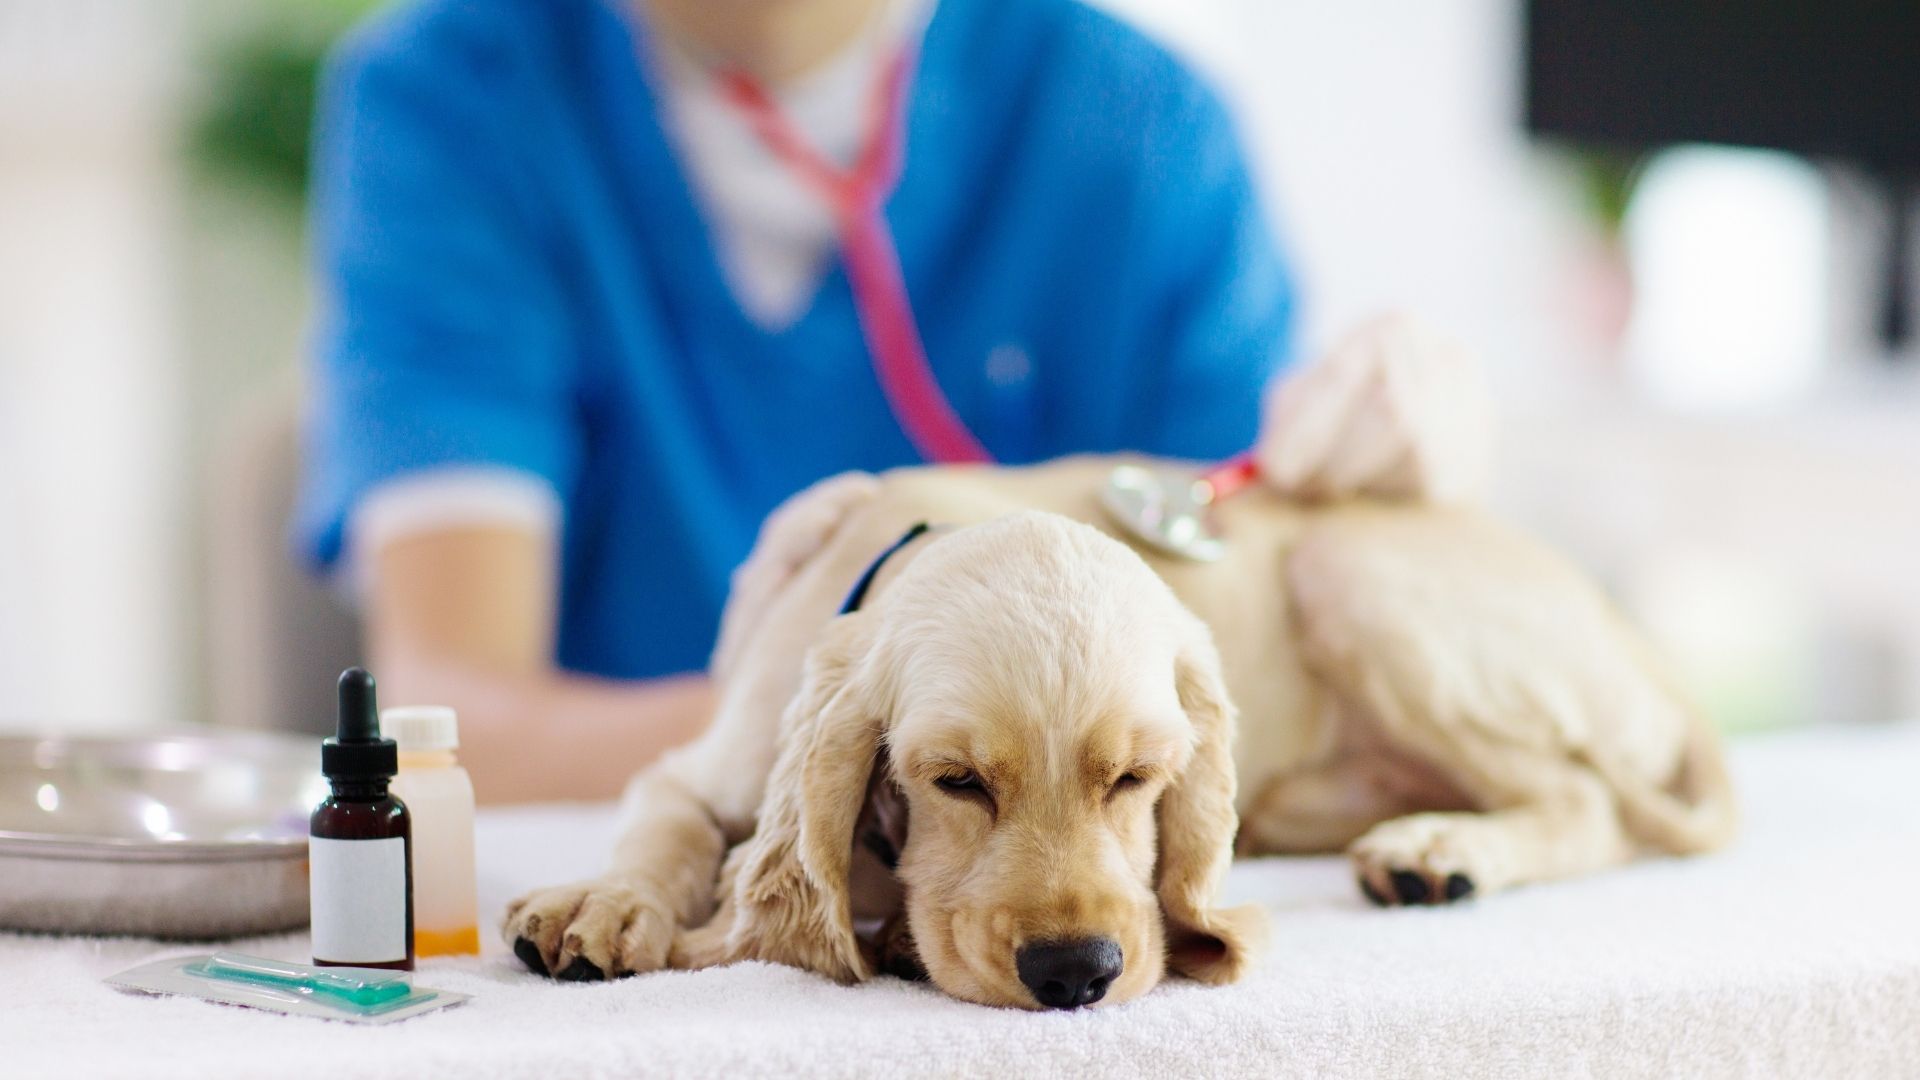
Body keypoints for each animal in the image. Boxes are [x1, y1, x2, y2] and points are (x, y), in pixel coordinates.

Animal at [503, 449, 1735, 1006]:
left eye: (1140, 779)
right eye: (955, 781)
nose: (1076, 974)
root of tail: (1637, 643)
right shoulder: (706, 762)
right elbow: (665, 828)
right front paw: (602, 902)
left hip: (1352, 579)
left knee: (1585, 799)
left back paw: (1441, 850)